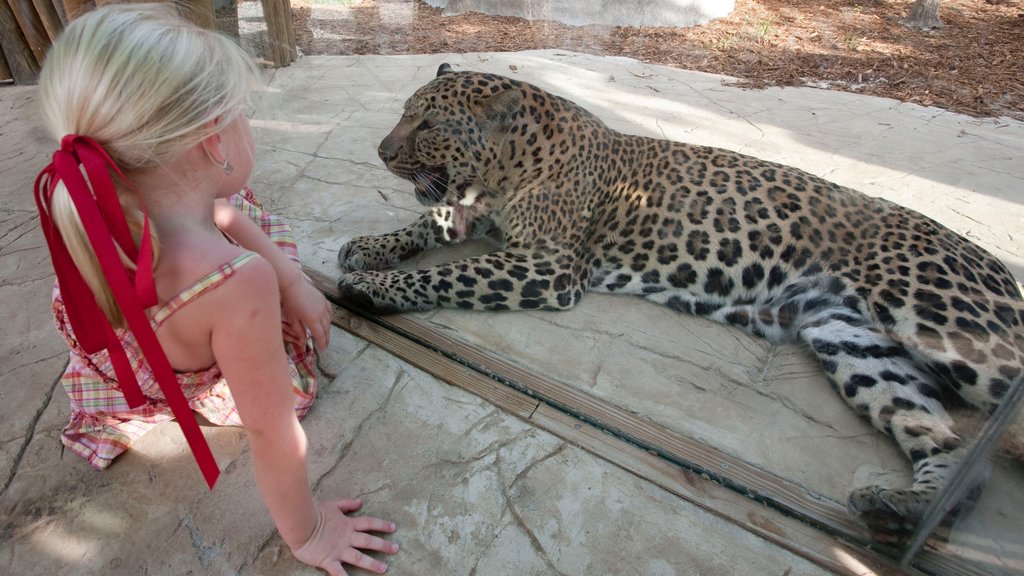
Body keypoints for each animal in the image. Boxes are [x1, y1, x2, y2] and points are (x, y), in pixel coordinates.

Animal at [337, 61, 1024, 532]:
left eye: (427, 124)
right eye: (406, 113)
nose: (380, 151)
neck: (503, 171)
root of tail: (996, 266)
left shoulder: (548, 267)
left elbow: (449, 273)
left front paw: (372, 286)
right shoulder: (478, 220)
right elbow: (426, 224)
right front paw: (369, 247)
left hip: (945, 321)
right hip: (852, 341)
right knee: (944, 444)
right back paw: (900, 508)